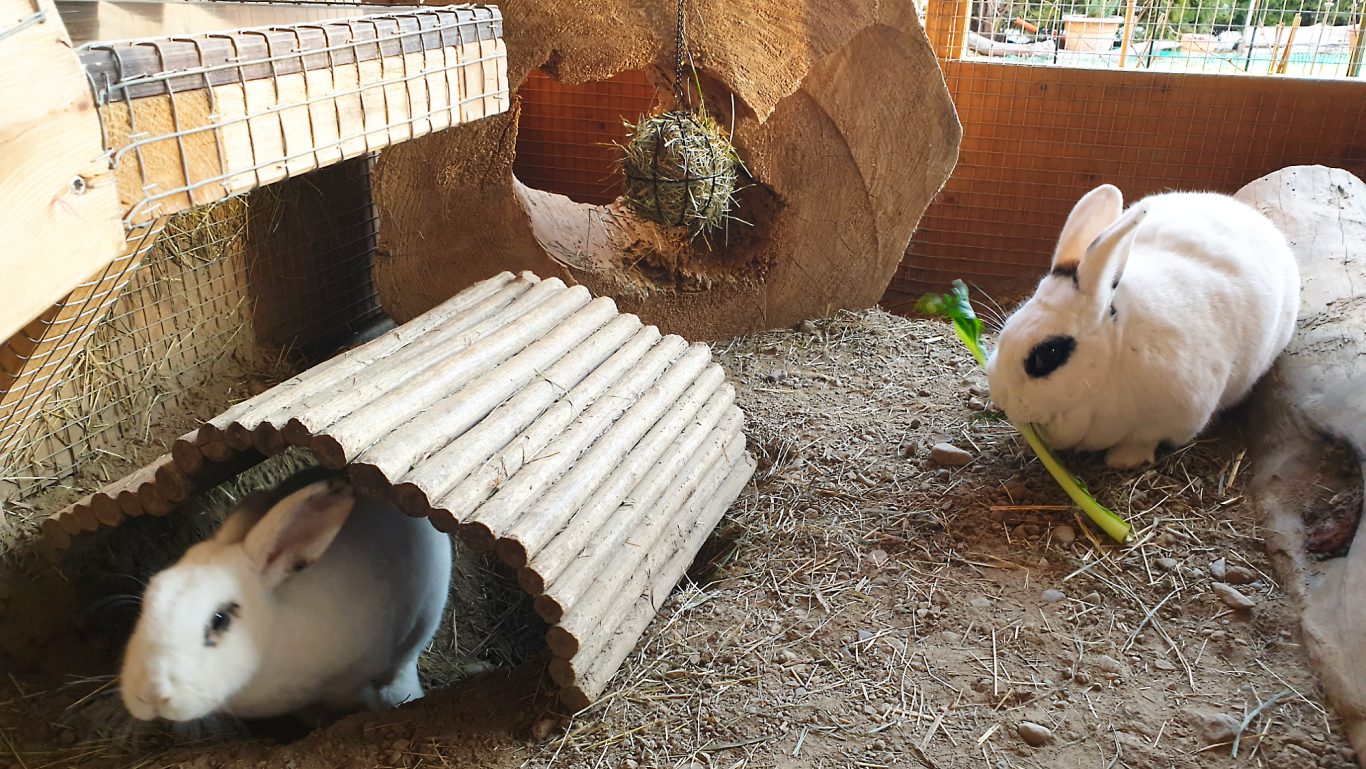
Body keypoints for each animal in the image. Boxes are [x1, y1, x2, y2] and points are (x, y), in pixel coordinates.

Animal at [985, 183, 1299, 470]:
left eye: (1048, 353)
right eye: (1008, 325)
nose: (1002, 399)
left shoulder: (1174, 419)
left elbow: (1143, 440)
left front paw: (1123, 461)